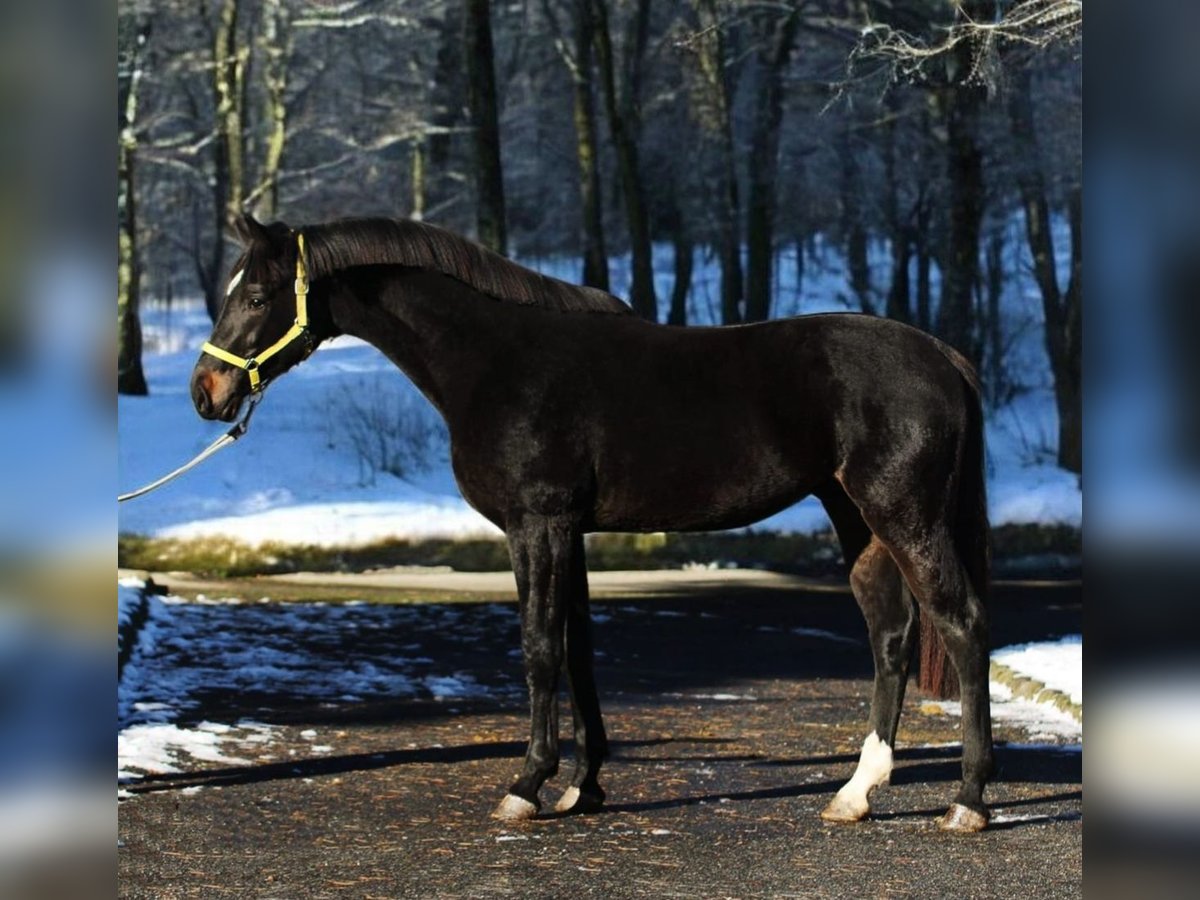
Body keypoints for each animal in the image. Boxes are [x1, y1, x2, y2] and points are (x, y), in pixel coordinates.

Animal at [187, 214, 993, 835]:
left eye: (255, 295)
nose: (207, 391)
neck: (497, 360)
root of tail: (942, 355)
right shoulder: (569, 532)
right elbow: (578, 653)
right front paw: (584, 787)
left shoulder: (536, 524)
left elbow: (541, 650)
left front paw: (525, 787)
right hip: (857, 519)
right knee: (890, 636)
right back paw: (856, 793)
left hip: (903, 515)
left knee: (961, 625)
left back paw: (969, 800)